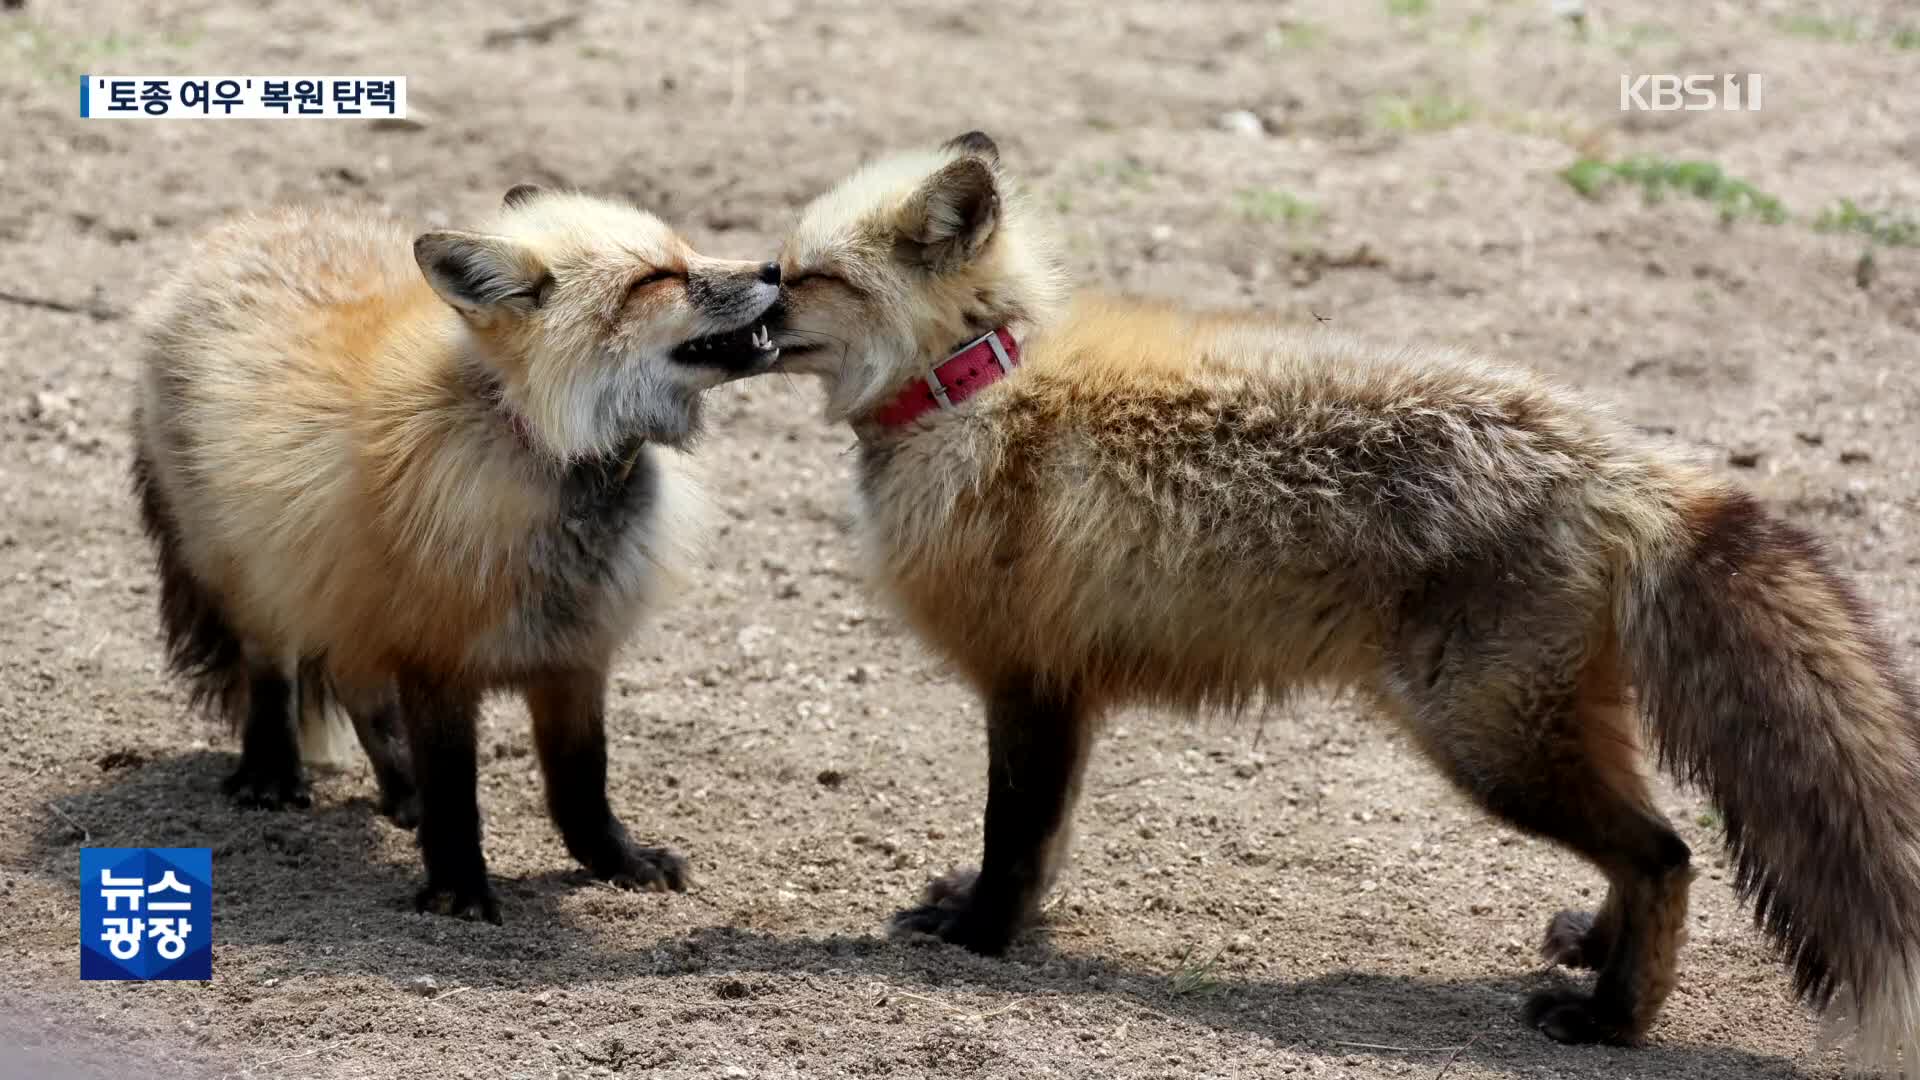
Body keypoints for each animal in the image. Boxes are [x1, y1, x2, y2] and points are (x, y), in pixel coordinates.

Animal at [131, 182, 783, 914]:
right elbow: (454, 792)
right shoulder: (435, 655)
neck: (543, 446)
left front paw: (617, 861)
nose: (775, 268)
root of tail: (248, 225)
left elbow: (582, 784)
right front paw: (458, 891)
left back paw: (399, 793)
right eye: (655, 279)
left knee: (358, 689)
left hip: (345, 587)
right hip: (254, 569)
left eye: (688, 249)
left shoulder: (574, 653)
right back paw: (272, 773)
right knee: (273, 670)